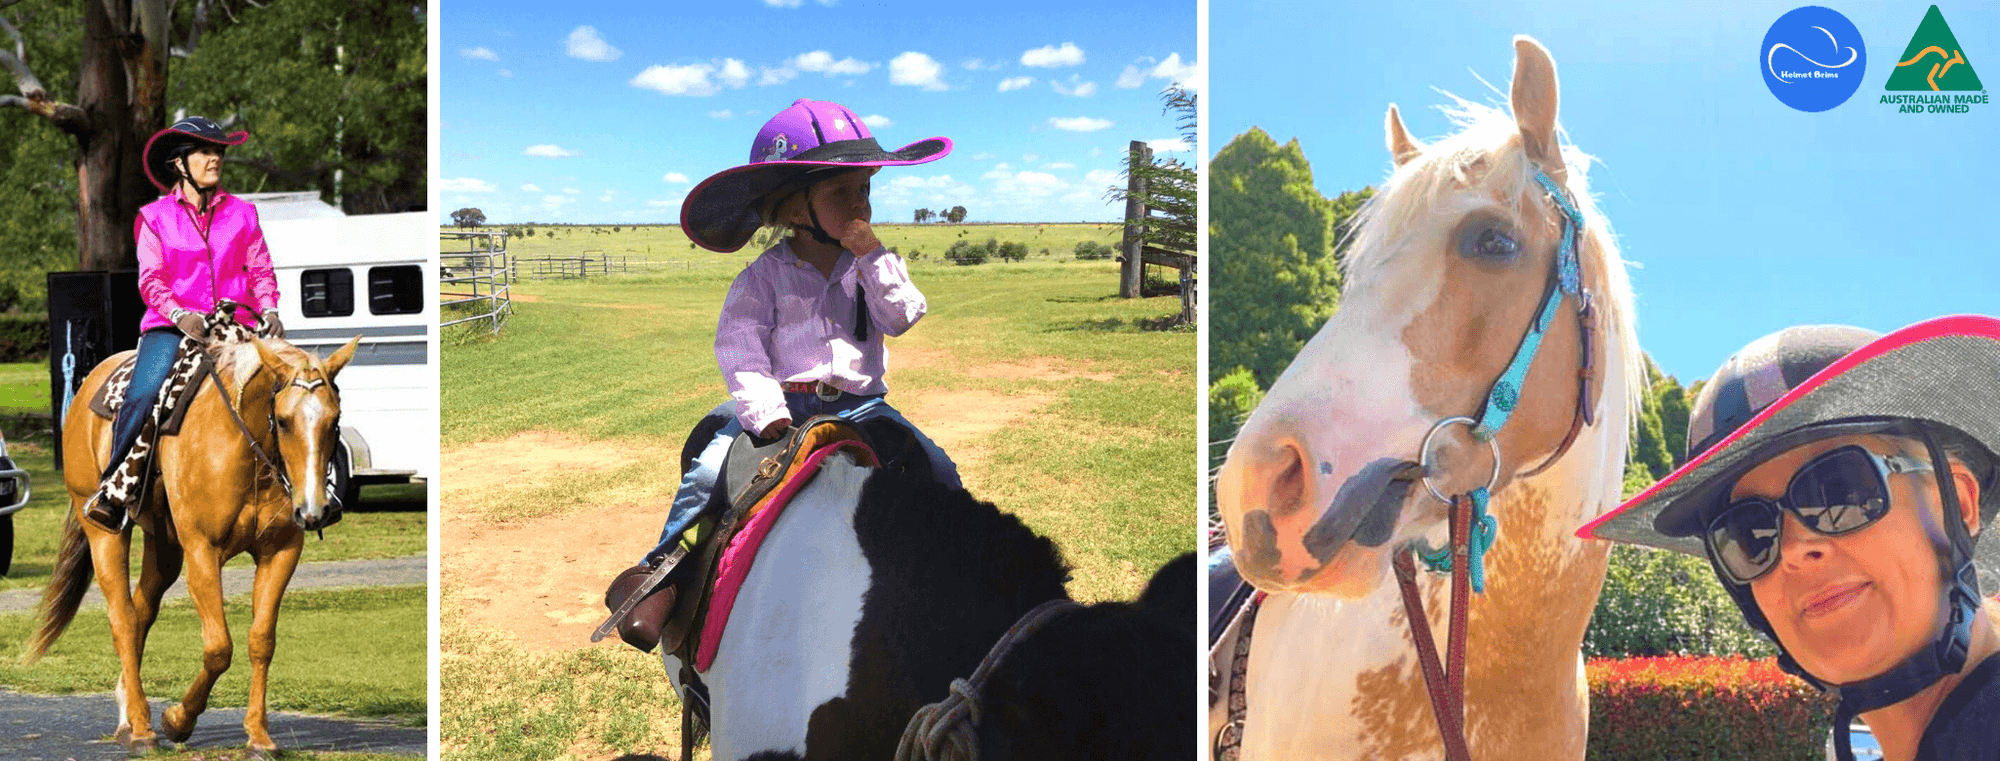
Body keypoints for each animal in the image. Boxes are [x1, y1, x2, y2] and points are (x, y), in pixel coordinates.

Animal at [28, 313, 359, 757]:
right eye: (286, 422)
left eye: (334, 420)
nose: (314, 509)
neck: (246, 448)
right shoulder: (203, 550)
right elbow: (219, 647)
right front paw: (177, 721)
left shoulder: (281, 550)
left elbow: (261, 641)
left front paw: (259, 736)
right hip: (103, 532)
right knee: (122, 619)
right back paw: (143, 730)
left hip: (164, 546)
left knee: (140, 613)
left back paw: (128, 717)